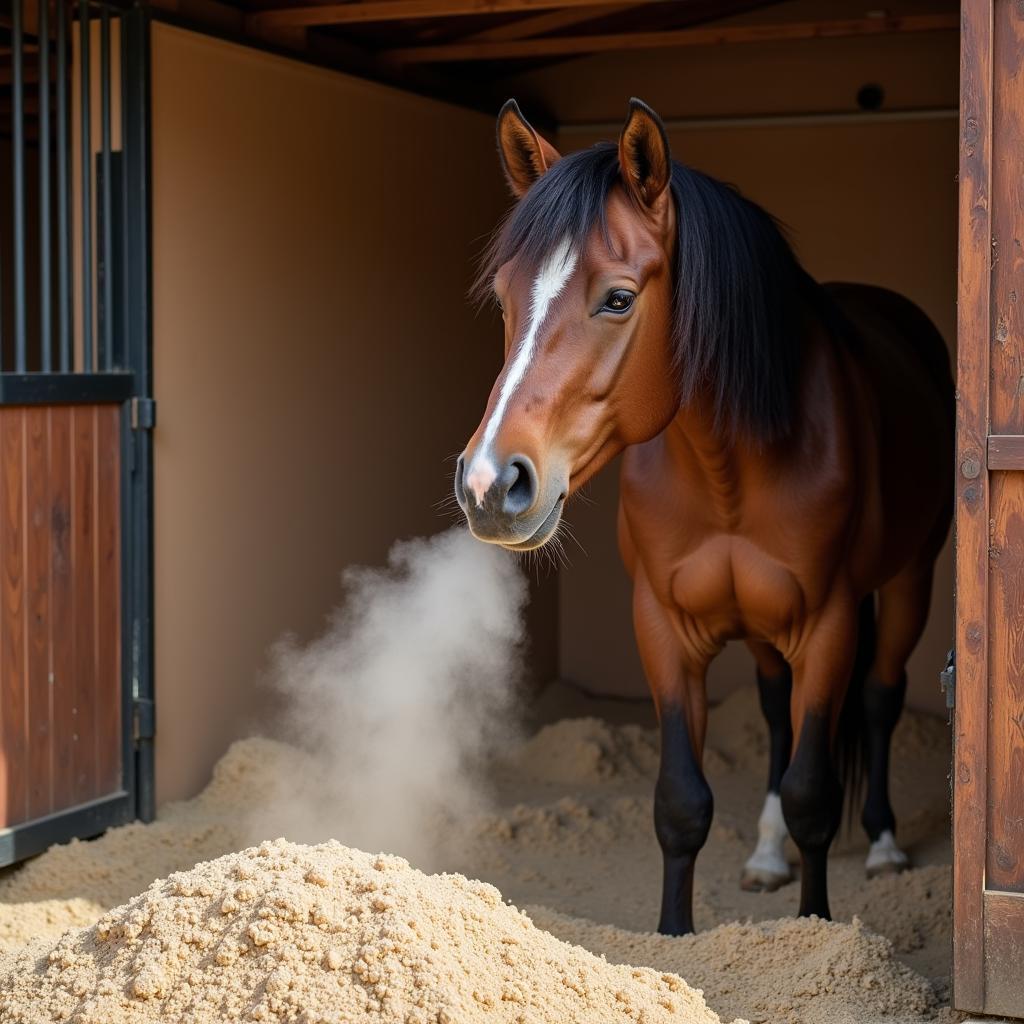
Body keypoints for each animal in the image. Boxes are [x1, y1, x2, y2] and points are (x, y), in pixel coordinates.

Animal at [456, 97, 950, 937]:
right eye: (504, 298)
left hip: (912, 579)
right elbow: (682, 805)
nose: (491, 482)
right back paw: (767, 856)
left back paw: (883, 844)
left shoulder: (829, 626)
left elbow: (815, 795)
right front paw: (675, 936)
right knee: (779, 714)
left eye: (619, 298)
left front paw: (817, 926)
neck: (729, 471)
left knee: (881, 700)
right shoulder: (664, 627)